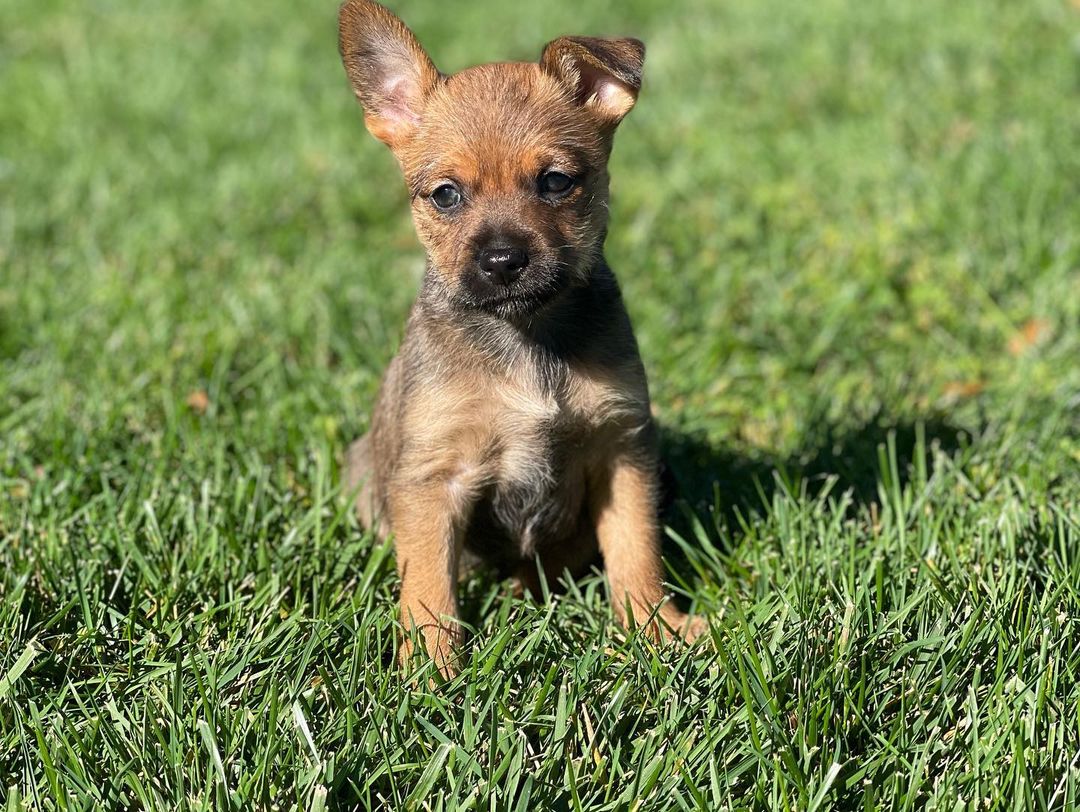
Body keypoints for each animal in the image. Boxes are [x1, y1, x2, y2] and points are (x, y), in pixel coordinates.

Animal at [341, 0, 704, 673]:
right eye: (446, 195)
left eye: (556, 182)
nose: (503, 259)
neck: (526, 339)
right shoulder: (434, 478)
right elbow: (428, 586)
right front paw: (430, 671)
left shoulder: (622, 453)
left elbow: (635, 551)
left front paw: (657, 630)